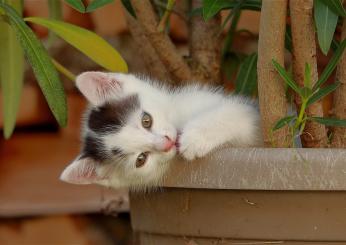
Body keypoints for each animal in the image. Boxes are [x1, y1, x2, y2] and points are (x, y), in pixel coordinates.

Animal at [59, 72, 260, 190]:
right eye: (141, 159)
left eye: (146, 120)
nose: (168, 142)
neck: (180, 122)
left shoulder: (249, 112)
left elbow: (230, 113)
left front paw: (194, 138)